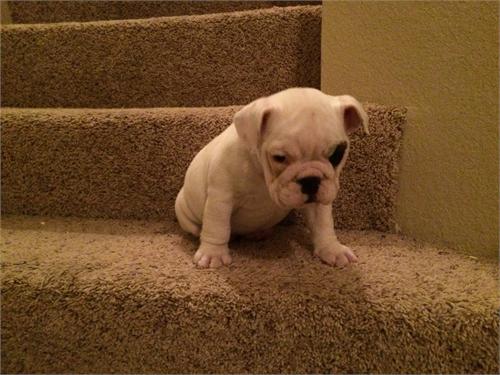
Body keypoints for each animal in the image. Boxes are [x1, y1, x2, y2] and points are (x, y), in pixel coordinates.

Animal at [175, 88, 368, 268]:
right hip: (182, 208)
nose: (311, 180)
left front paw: (332, 249)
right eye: (279, 157)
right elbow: (217, 227)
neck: (262, 174)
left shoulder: (318, 199)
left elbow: (323, 224)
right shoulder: (221, 198)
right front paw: (213, 253)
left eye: (337, 154)